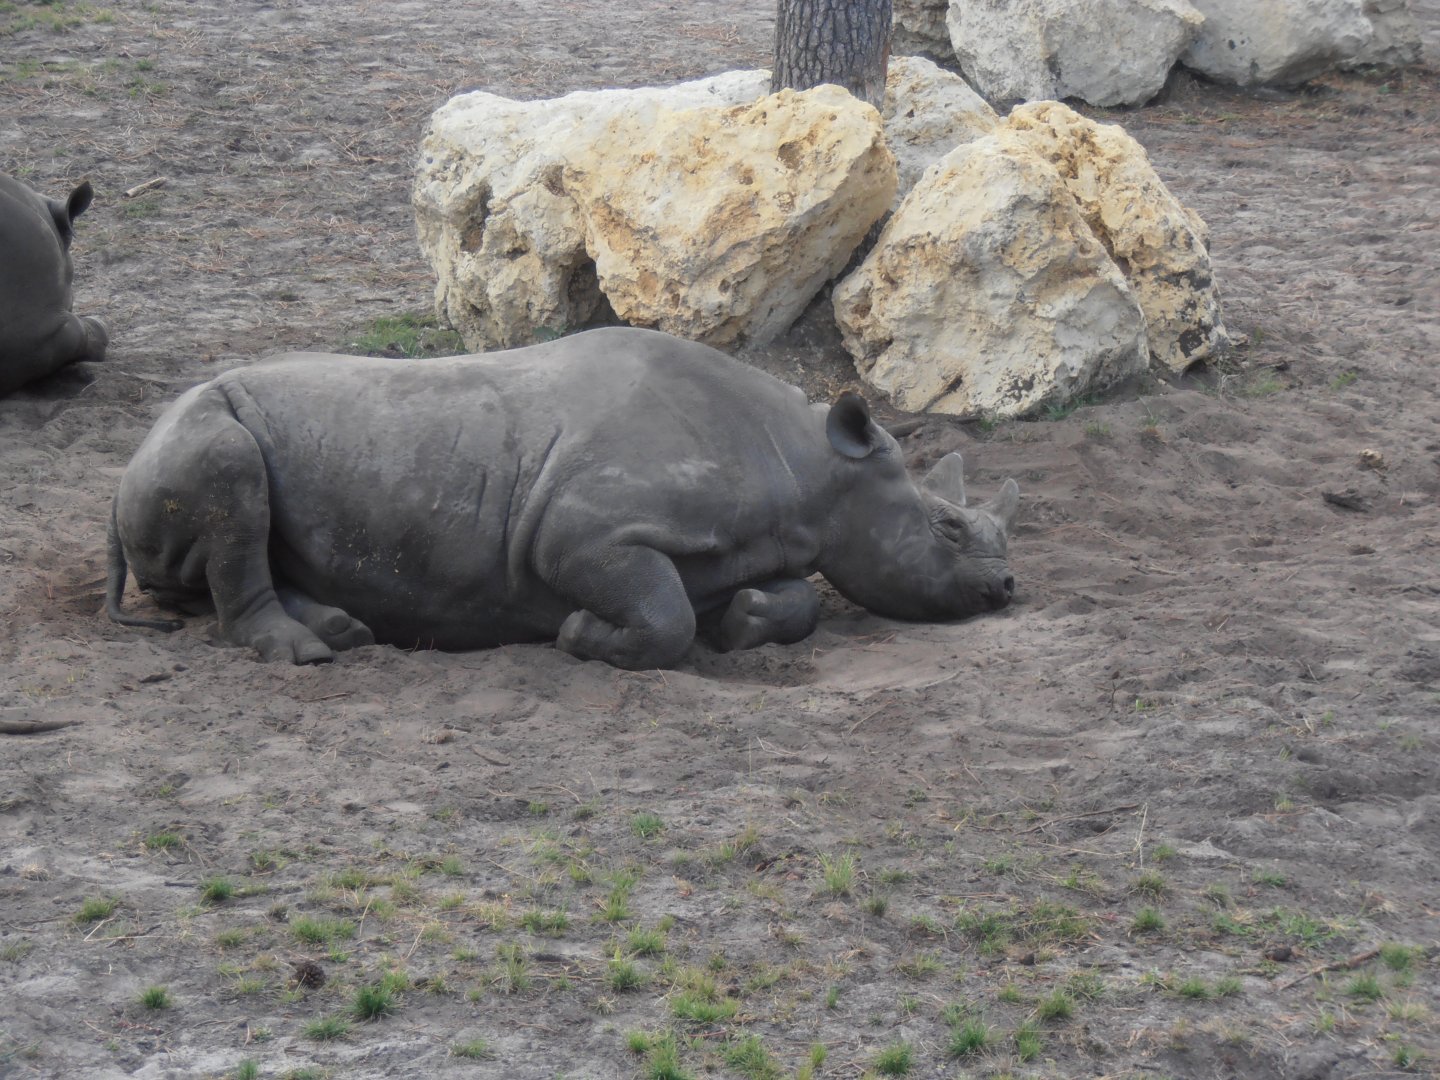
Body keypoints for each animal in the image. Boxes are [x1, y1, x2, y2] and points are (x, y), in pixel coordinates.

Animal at [106, 327, 1019, 669]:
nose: (1008, 588)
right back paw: (308, 652)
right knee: (231, 484)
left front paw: (742, 624)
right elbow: (661, 617)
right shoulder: (582, 534)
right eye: (944, 527)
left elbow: (794, 603)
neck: (808, 465)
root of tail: (125, 463)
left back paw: (342, 630)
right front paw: (582, 635)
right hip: (203, 430)